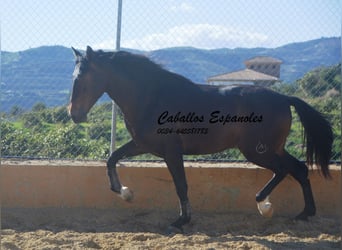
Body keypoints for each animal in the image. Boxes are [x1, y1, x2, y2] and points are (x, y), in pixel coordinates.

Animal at [68, 46, 332, 233]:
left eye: (80, 78)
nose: (74, 114)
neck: (151, 96)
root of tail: (285, 98)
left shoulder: (171, 151)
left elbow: (181, 184)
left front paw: (180, 221)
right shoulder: (143, 145)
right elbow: (112, 158)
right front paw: (124, 192)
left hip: (258, 151)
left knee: (283, 170)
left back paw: (264, 206)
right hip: (272, 148)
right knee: (299, 169)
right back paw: (305, 213)